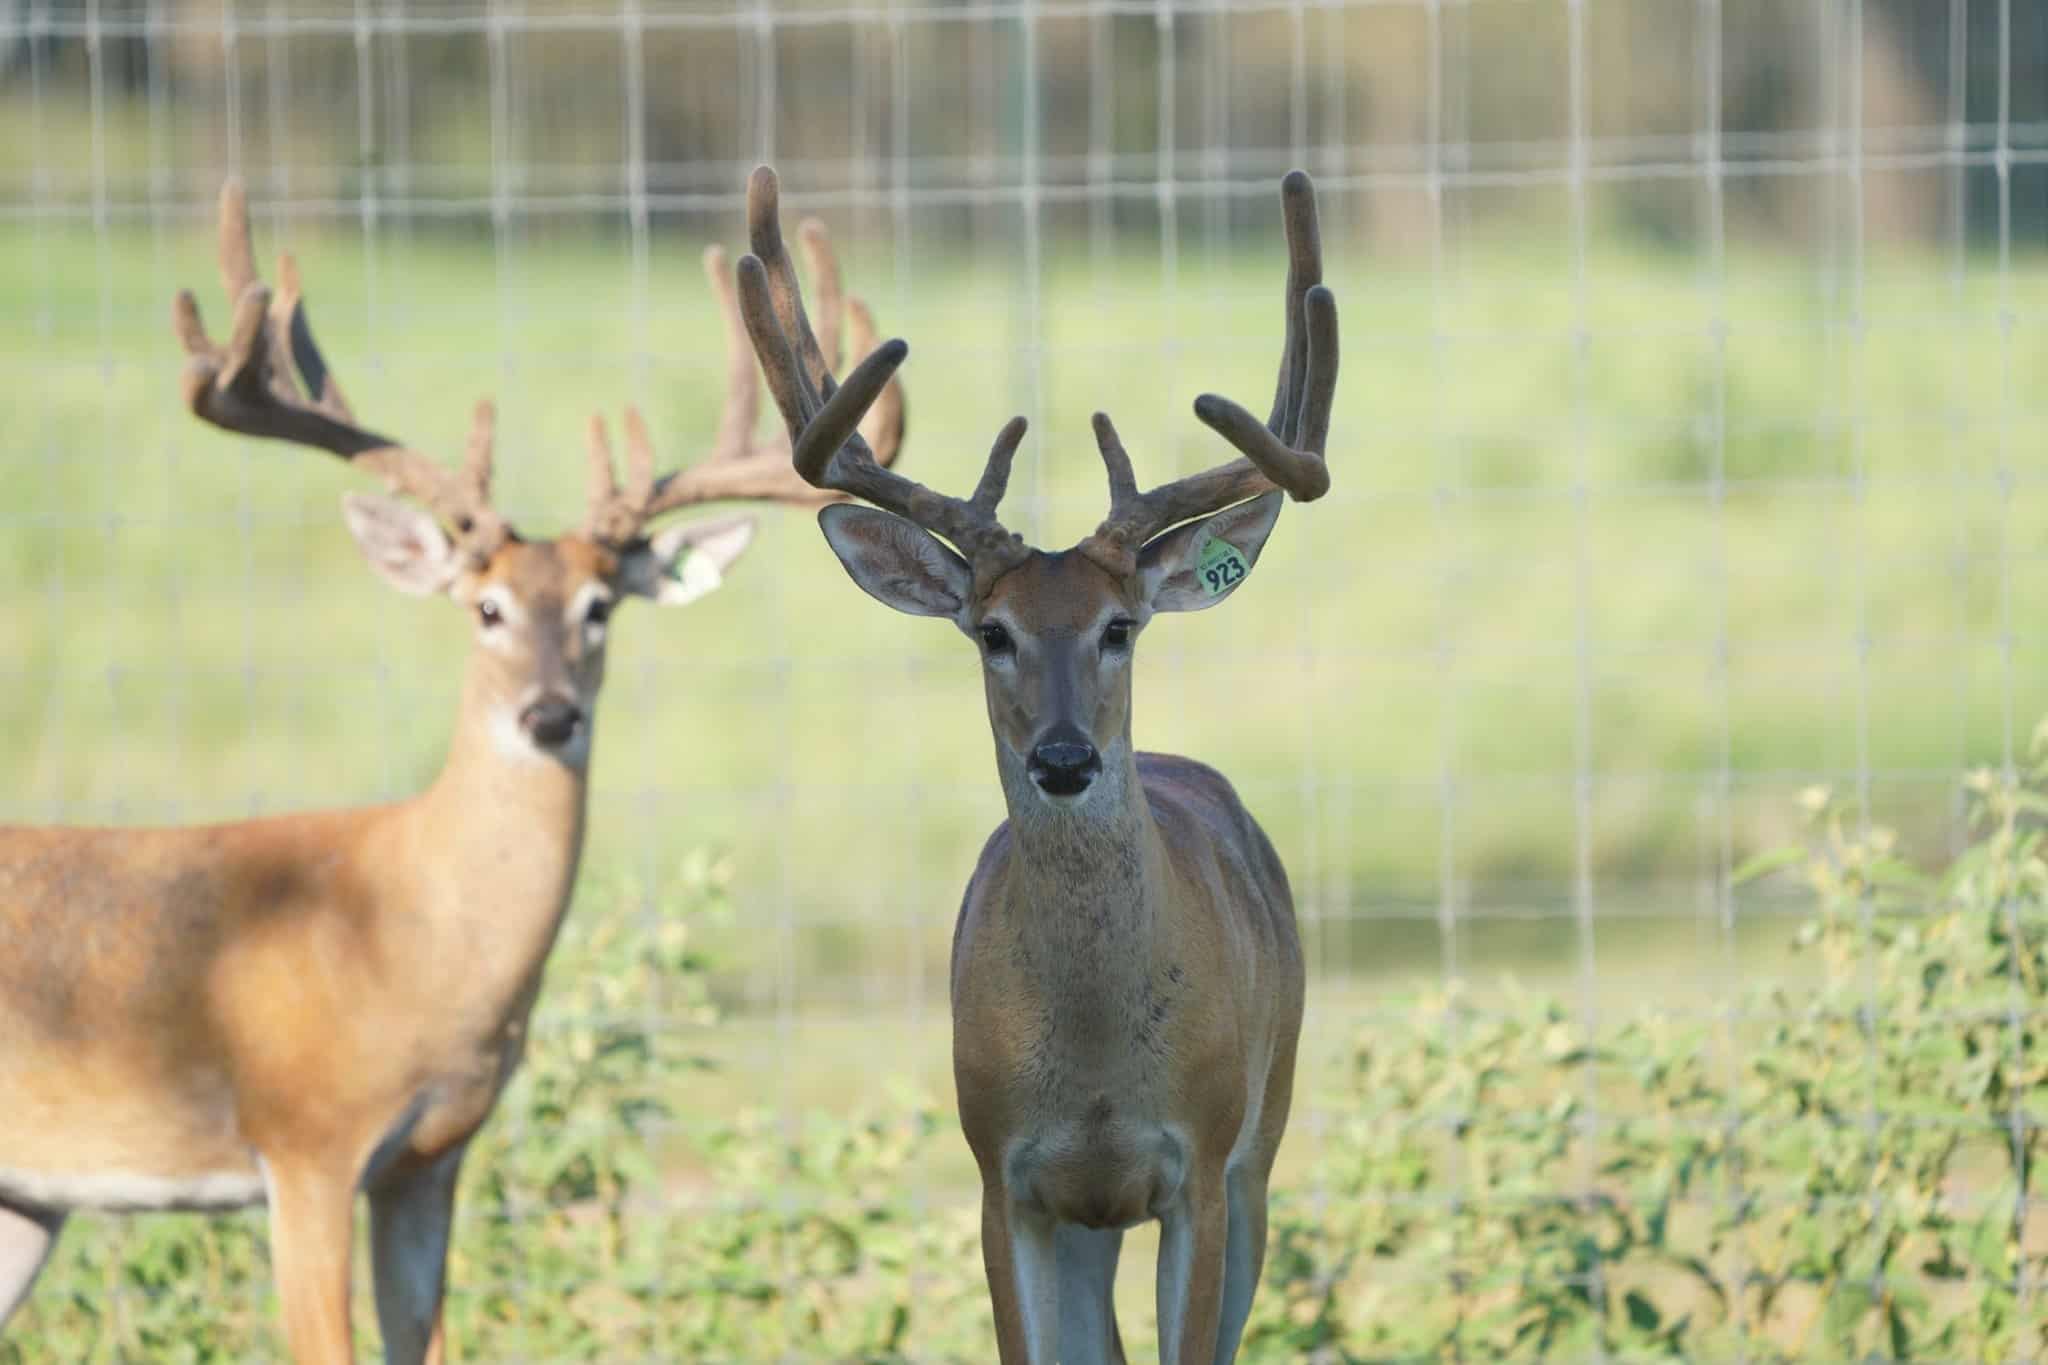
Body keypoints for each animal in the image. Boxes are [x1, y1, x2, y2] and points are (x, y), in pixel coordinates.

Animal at [0, 178, 903, 1365]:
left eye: (600, 608)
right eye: (486, 608)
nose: (551, 713)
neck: (408, 936)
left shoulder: (430, 1158)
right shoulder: (306, 1140)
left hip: (25, 1199)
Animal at [733, 164, 1337, 1364]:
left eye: (1119, 626)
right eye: (991, 631)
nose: (1064, 756)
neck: (1096, 1065)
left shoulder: (1201, 1165)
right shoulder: (1002, 1175)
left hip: (1270, 1125)